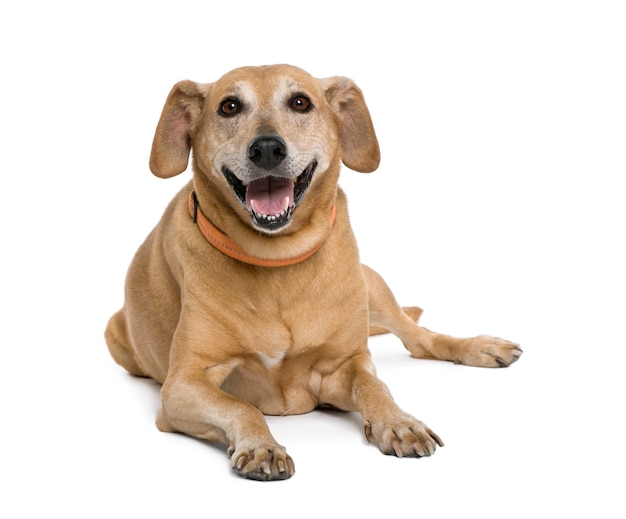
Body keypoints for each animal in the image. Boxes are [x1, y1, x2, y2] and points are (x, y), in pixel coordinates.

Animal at [105, 65, 520, 484]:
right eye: (229, 106)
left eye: (300, 102)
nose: (267, 148)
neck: (277, 261)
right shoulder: (183, 384)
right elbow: (241, 406)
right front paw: (262, 445)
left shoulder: (345, 364)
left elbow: (375, 384)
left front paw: (398, 421)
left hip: (372, 288)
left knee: (419, 338)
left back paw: (477, 347)